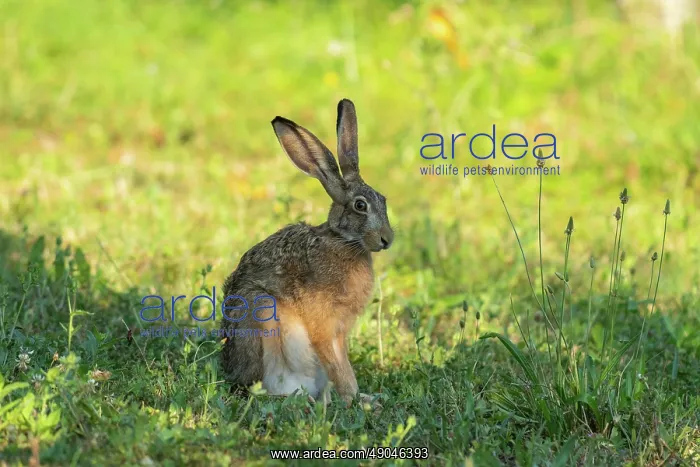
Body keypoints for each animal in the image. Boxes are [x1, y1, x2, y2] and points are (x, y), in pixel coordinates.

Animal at [220, 98, 393, 405]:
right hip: (260, 310)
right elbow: (337, 364)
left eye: (383, 200)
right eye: (360, 206)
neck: (343, 240)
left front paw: (361, 398)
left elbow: (343, 363)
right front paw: (354, 401)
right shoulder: (323, 324)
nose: (387, 239)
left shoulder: (341, 330)